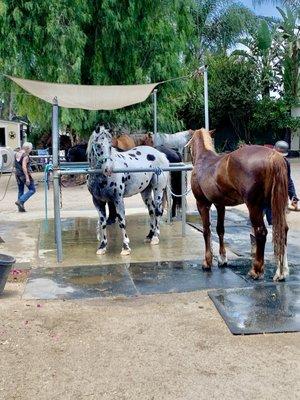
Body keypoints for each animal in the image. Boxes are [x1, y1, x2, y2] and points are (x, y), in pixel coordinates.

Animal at [88, 126, 170, 256]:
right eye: (98, 145)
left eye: (110, 145)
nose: (108, 169)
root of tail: (161, 154)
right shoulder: (97, 201)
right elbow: (103, 223)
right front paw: (102, 246)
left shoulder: (118, 199)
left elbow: (121, 221)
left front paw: (125, 247)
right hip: (145, 192)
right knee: (151, 210)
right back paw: (149, 235)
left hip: (158, 189)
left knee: (158, 211)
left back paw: (155, 237)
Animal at [189, 128, 290, 282]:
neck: (204, 160)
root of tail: (274, 156)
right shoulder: (220, 205)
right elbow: (220, 229)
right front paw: (222, 259)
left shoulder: (202, 204)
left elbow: (207, 230)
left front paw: (207, 262)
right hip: (275, 205)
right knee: (282, 230)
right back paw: (281, 272)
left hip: (255, 206)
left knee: (261, 232)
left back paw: (256, 271)